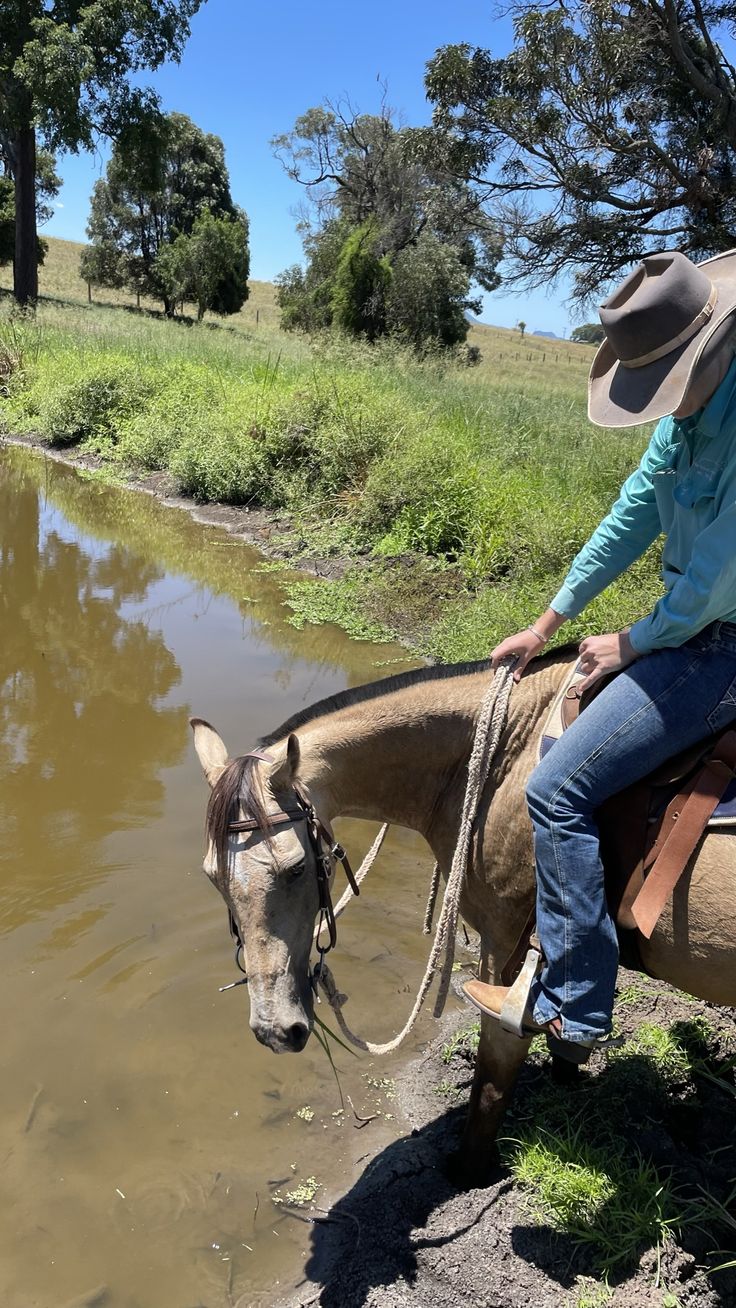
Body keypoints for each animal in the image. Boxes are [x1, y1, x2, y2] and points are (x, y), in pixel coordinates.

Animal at [189, 648, 736, 1192]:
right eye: (213, 877)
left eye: (298, 867)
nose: (274, 1029)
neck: (505, 760)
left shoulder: (508, 951)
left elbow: (494, 1073)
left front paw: (467, 1172)